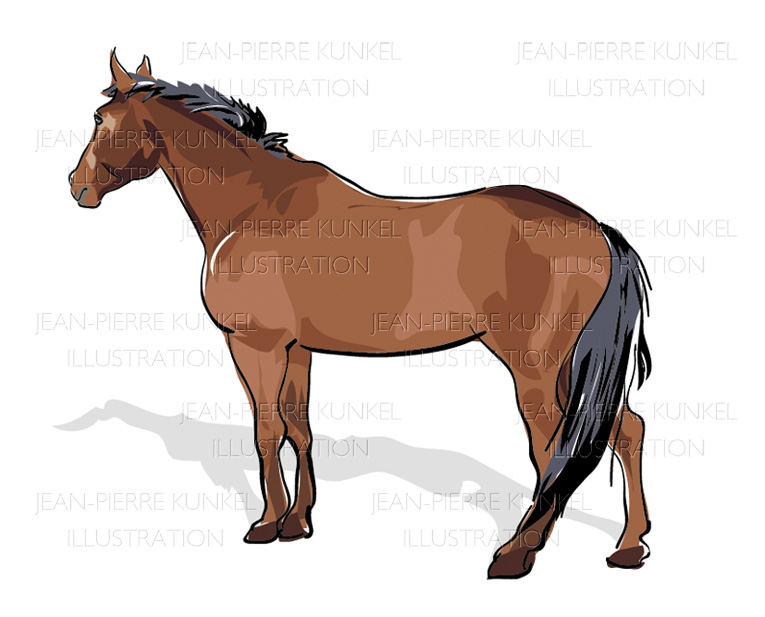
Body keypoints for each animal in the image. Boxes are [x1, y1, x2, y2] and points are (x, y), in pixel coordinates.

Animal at [69, 51, 653, 579]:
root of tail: (598, 228)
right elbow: (298, 427)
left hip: (535, 365)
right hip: (567, 365)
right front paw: (298, 522)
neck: (255, 207)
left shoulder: (254, 344)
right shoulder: (296, 349)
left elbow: (265, 430)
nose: (78, 187)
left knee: (553, 446)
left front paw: (266, 524)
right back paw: (628, 547)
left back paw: (515, 553)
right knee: (625, 430)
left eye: (99, 118)